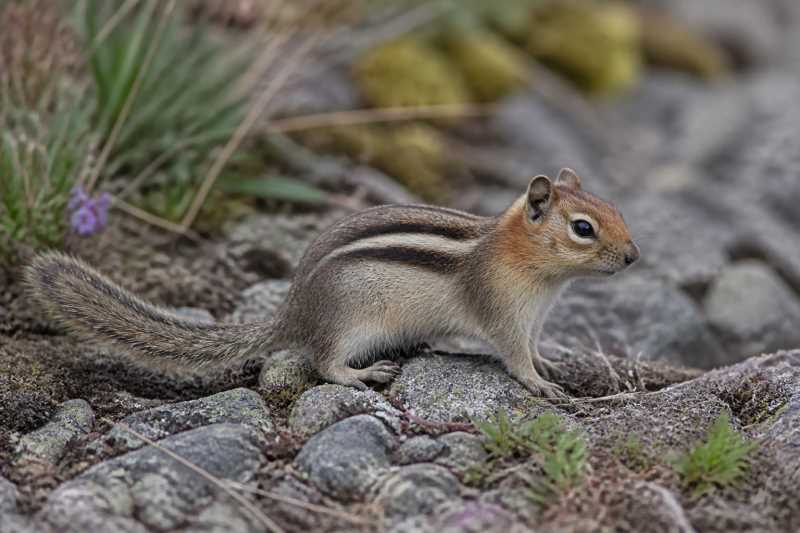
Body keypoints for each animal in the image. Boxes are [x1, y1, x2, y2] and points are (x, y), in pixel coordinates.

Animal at [26, 168, 638, 398]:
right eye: (583, 228)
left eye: (614, 209)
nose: (633, 256)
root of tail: (292, 311)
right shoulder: (502, 313)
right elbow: (512, 356)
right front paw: (540, 385)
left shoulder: (533, 317)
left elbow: (534, 347)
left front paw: (553, 365)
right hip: (351, 323)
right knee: (321, 362)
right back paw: (361, 374)